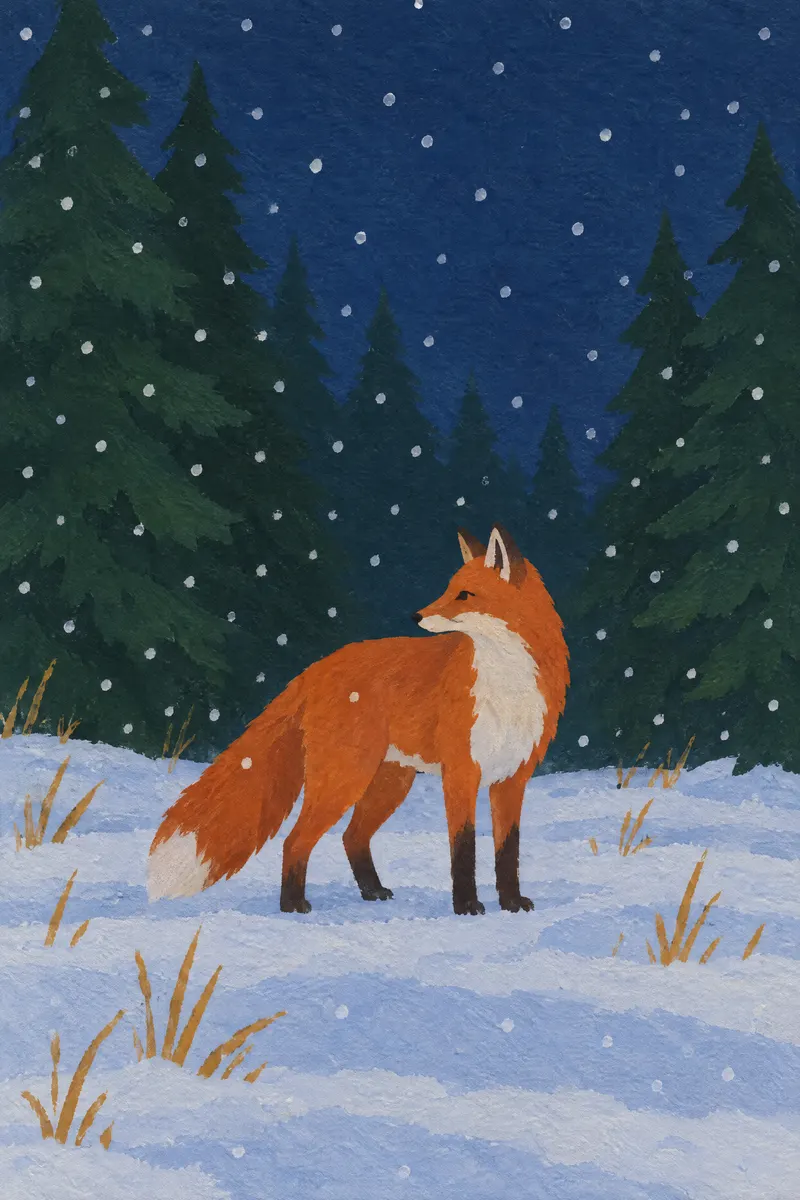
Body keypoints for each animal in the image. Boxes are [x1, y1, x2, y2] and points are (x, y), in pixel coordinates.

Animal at [148, 525, 569, 916]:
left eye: (464, 594)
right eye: (449, 588)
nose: (416, 615)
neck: (508, 686)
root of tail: (316, 668)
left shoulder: (513, 778)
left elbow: (508, 851)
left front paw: (511, 903)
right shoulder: (461, 772)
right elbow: (463, 848)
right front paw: (466, 906)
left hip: (387, 782)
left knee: (351, 837)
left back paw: (372, 892)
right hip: (346, 777)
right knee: (295, 840)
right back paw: (293, 905)